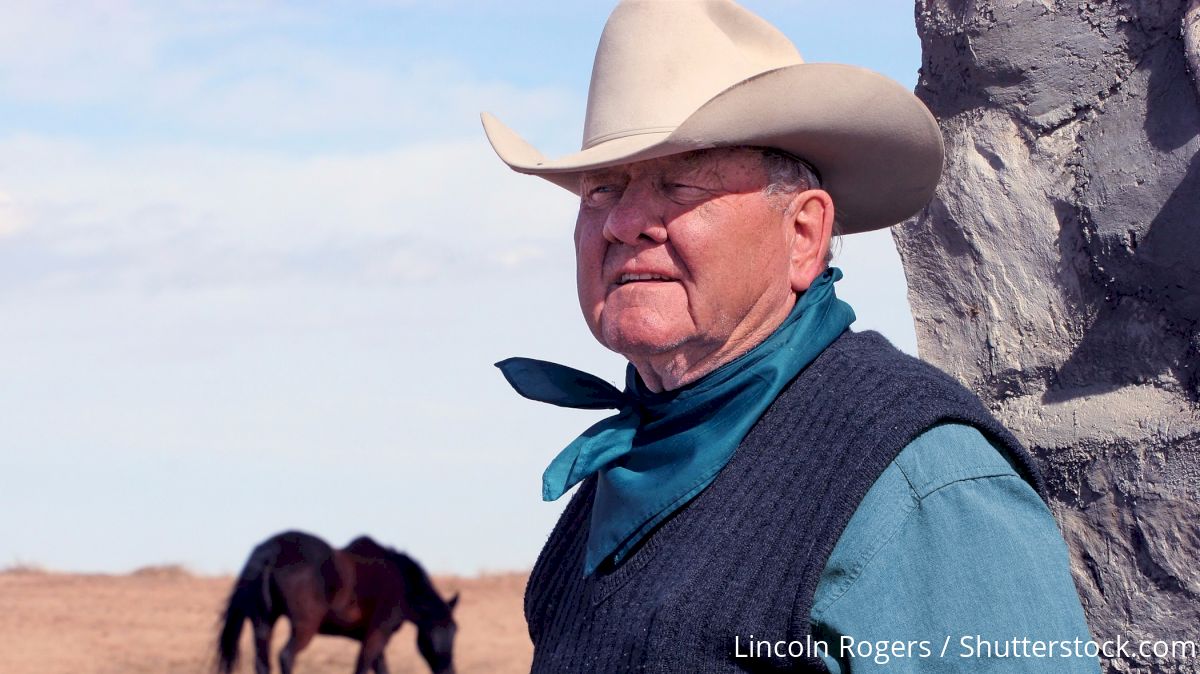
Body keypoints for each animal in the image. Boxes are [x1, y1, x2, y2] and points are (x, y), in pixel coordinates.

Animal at [216, 530, 458, 671]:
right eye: (436, 629)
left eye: (455, 630)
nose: (448, 670)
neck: (401, 582)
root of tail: (272, 552)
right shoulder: (378, 633)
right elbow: (362, 666)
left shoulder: (374, 637)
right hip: (304, 627)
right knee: (286, 656)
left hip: (263, 623)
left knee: (262, 662)